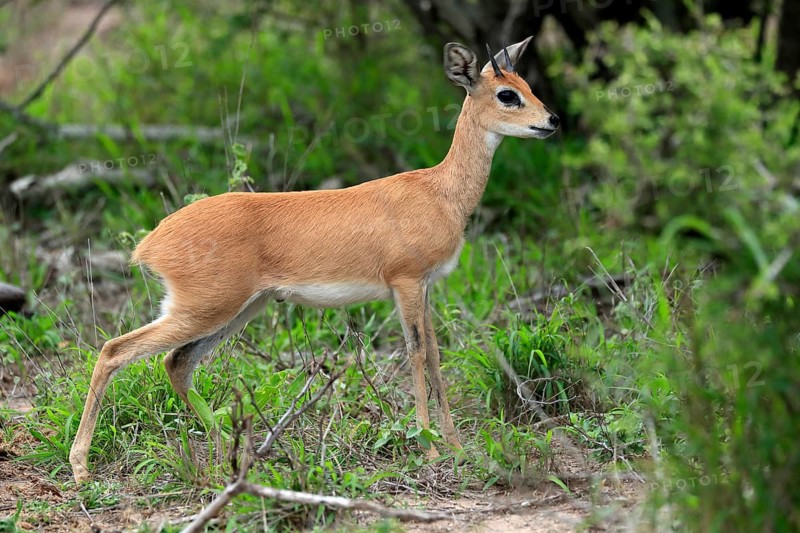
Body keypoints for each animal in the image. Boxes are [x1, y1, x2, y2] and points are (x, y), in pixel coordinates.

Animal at [69, 37, 559, 483]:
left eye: (526, 84)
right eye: (507, 94)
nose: (552, 120)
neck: (440, 192)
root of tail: (151, 241)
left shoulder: (426, 286)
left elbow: (436, 356)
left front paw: (455, 446)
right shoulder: (405, 282)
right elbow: (417, 354)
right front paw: (430, 448)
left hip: (239, 310)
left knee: (176, 363)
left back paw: (240, 456)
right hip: (205, 309)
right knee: (114, 350)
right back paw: (81, 468)